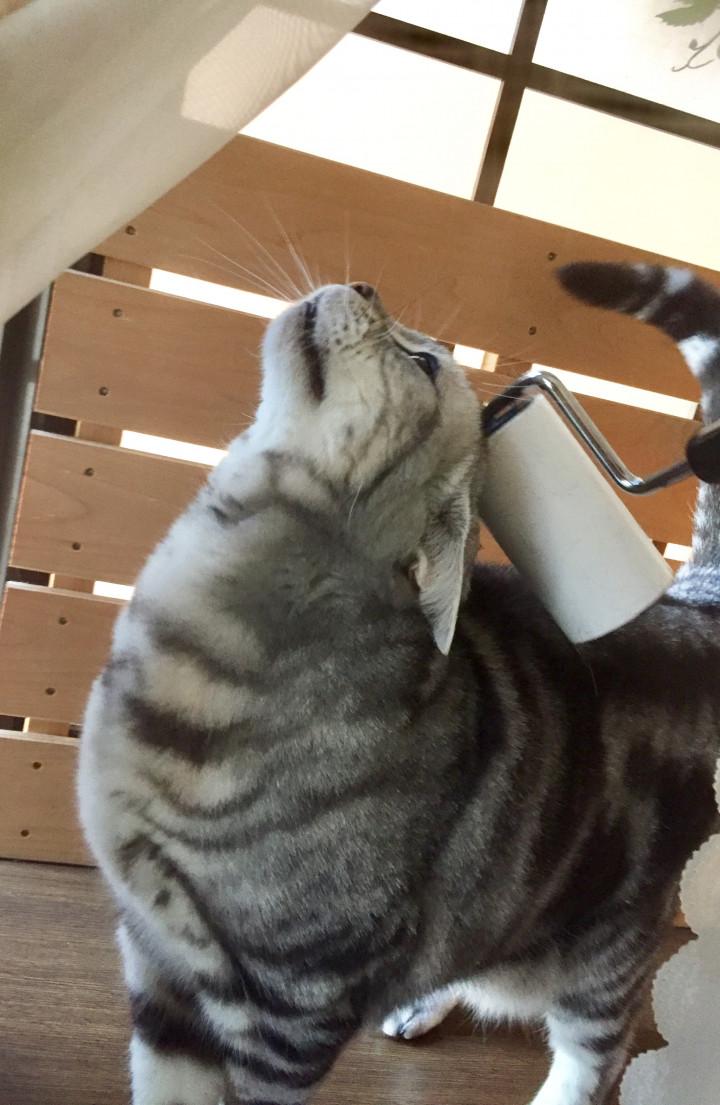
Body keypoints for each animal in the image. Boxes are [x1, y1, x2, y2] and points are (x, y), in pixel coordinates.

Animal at [78, 265, 720, 1105]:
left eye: (422, 363)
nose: (364, 285)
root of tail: (687, 603)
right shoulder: (157, 960)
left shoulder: (291, 1004)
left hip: (608, 953)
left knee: (597, 1052)